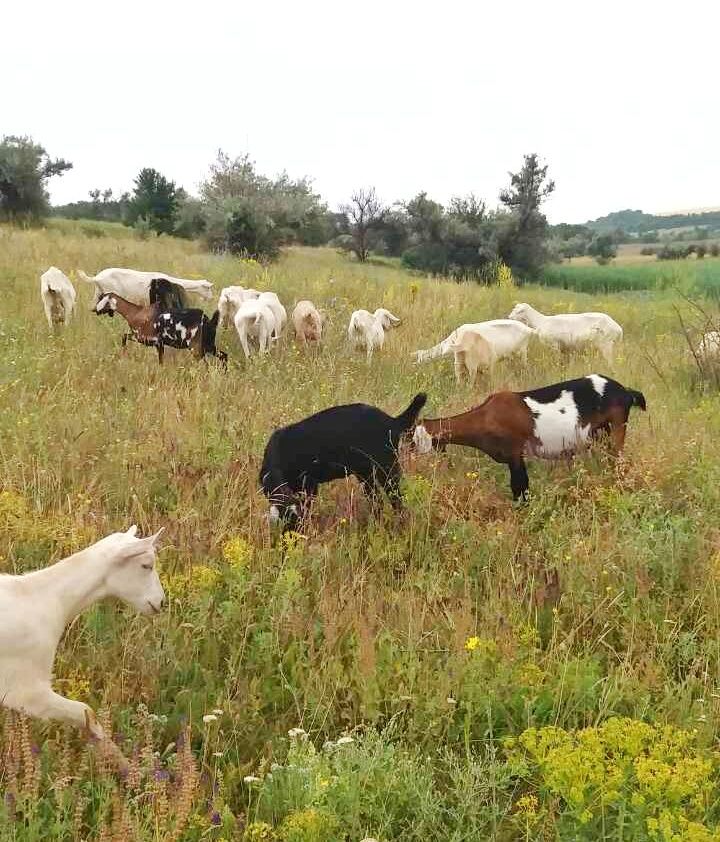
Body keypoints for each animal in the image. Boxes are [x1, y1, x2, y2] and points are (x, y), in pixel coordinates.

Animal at [93, 292, 225, 364]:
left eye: (100, 299)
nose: (94, 309)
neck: (135, 312)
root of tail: (208, 320)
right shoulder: (154, 343)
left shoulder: (148, 339)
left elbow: (124, 336)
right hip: (208, 345)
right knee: (224, 356)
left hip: (196, 348)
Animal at [260, 392, 424, 524]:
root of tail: (392, 421)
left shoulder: (310, 485)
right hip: (366, 473)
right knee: (377, 500)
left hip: (387, 468)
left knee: (396, 498)